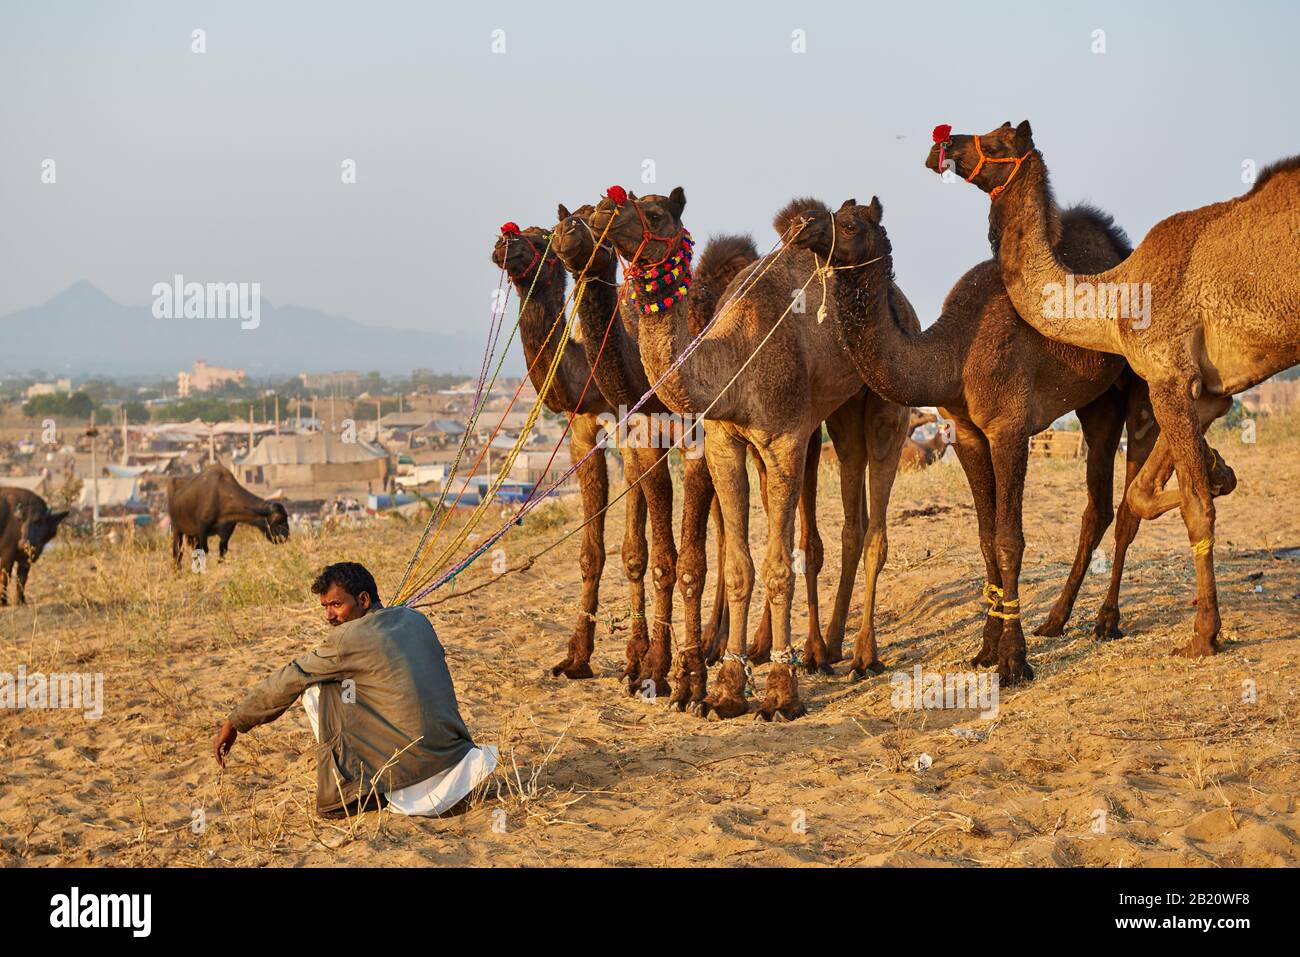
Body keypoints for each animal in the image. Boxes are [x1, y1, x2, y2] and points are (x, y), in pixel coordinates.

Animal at [589, 189, 911, 720]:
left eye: (654, 213)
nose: (602, 211)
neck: (734, 359)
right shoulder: (725, 441)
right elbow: (740, 564)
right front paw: (726, 689)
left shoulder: (783, 440)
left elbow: (780, 565)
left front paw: (780, 692)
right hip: (839, 415)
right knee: (852, 515)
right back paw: (826, 648)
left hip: (885, 399)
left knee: (876, 527)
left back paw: (863, 654)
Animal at [788, 195, 1169, 682]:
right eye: (835, 213)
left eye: (850, 224)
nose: (804, 225)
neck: (954, 352)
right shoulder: (967, 433)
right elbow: (987, 537)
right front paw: (987, 649)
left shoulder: (1009, 427)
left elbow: (1010, 538)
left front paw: (1014, 660)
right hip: (1098, 403)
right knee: (1097, 504)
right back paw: (1056, 619)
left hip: (1141, 382)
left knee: (1128, 502)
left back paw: (1106, 620)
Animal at [932, 121, 1298, 657]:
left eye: (996, 139)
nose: (946, 143)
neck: (1116, 296)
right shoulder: (1206, 389)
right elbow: (1144, 495)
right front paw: (1220, 469)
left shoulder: (1167, 373)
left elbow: (1192, 504)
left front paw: (1203, 634)